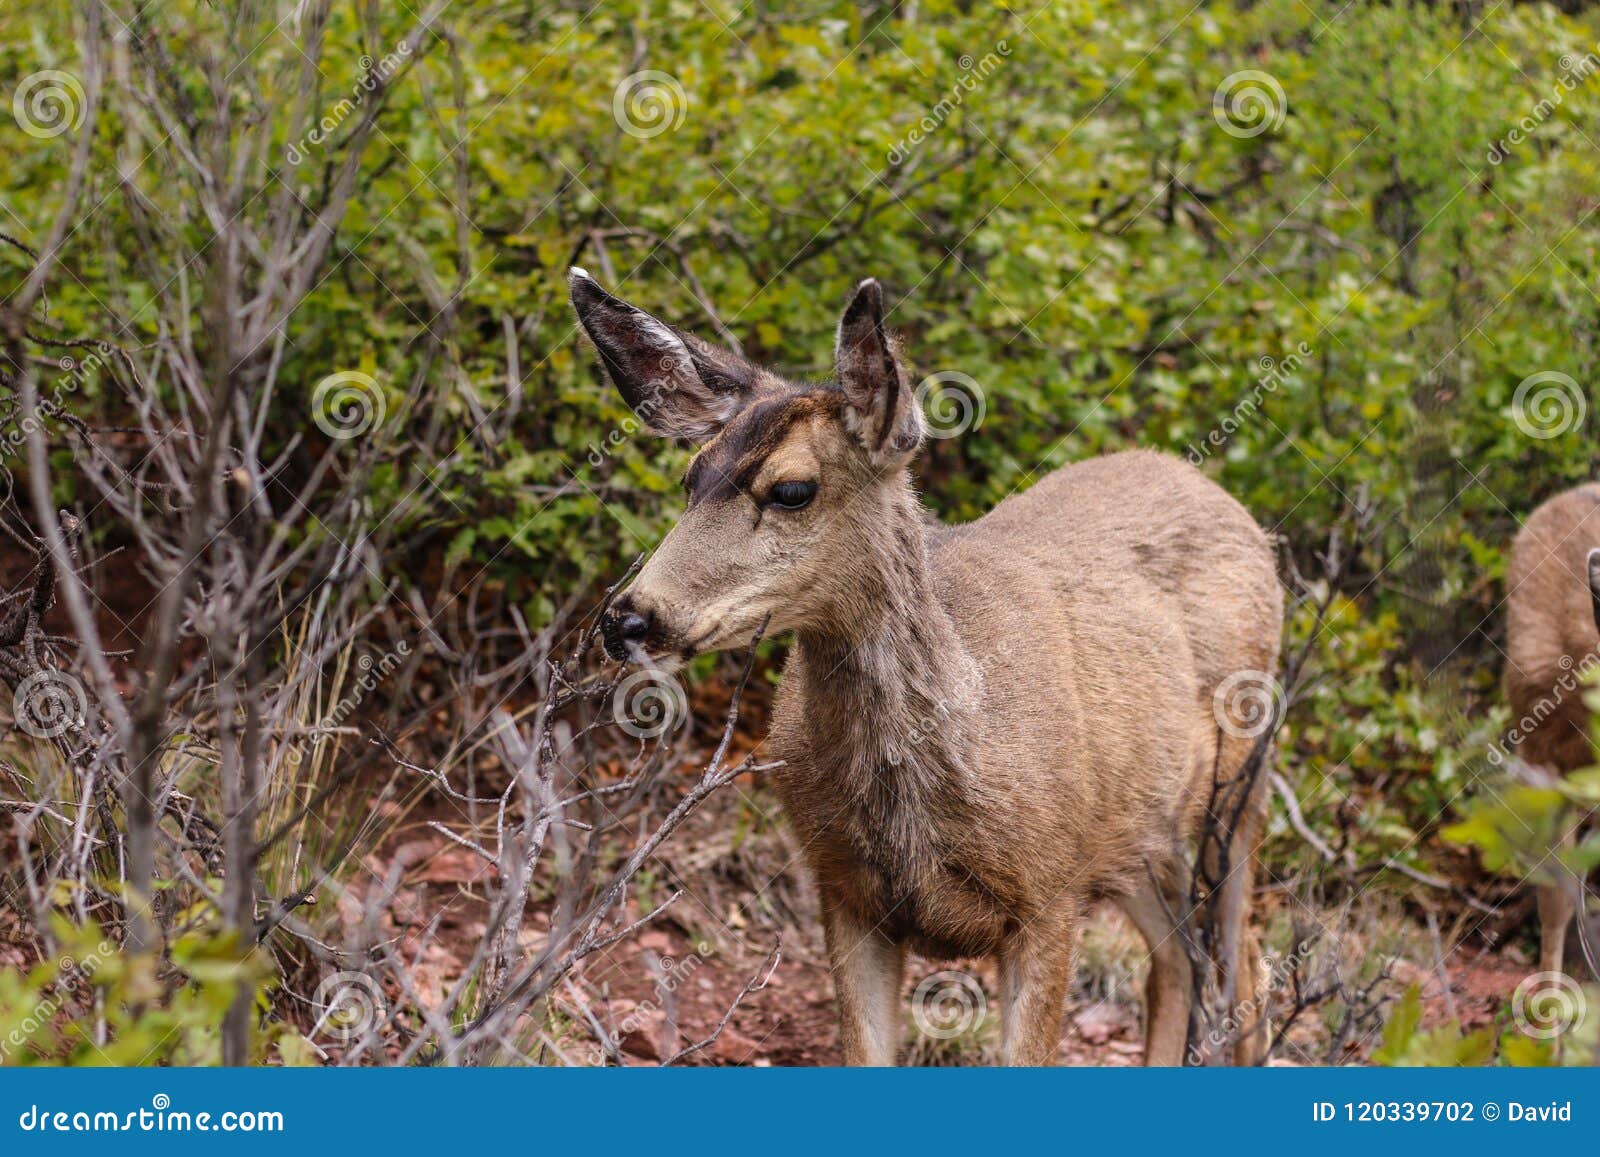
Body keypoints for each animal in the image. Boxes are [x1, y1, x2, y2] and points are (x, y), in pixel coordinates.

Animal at [571, 269, 1284, 1065]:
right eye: (692, 477)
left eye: (792, 490)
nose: (628, 618)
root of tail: (1229, 504)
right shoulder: (844, 890)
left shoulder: (1050, 891)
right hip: (1137, 835)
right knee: (1179, 957)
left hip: (1241, 782)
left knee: (1241, 965)